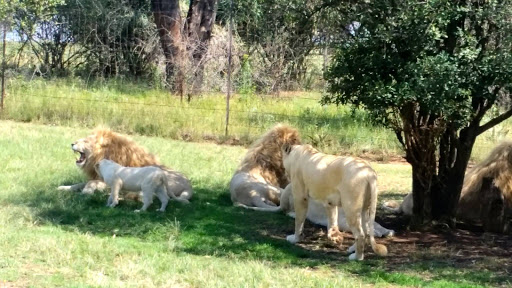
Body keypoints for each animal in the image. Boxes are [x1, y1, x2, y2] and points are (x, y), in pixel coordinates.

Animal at [56, 127, 192, 201]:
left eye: (85, 141)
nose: (72, 143)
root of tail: (189, 186)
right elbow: (78, 184)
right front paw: (64, 188)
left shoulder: (107, 181)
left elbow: (90, 183)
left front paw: (87, 191)